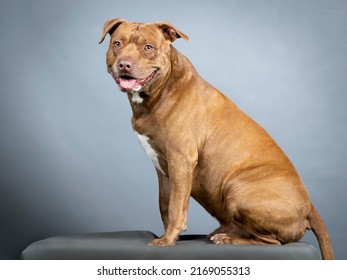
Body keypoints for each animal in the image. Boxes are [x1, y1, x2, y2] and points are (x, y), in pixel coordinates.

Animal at [98, 18, 334, 260]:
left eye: (148, 47)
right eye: (117, 43)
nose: (124, 64)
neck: (160, 91)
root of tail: (309, 206)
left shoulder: (181, 161)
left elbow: (175, 207)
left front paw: (167, 240)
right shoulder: (162, 170)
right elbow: (165, 205)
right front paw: (169, 236)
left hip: (237, 190)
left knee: (273, 242)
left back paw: (228, 239)